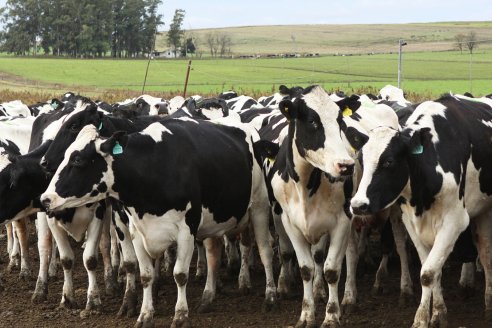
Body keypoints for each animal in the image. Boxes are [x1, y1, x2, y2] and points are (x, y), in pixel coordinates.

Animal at [352, 94, 492, 326]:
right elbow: (430, 269)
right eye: (360, 160)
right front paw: (435, 314)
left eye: (388, 161)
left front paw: (422, 319)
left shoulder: (454, 221)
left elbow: (427, 273)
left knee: (486, 254)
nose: (357, 205)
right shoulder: (411, 222)